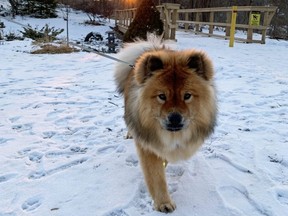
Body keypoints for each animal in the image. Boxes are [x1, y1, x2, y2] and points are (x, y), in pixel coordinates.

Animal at [114, 35, 216, 213]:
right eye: (162, 96)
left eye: (187, 96)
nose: (174, 118)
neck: (171, 136)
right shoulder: (148, 147)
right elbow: (157, 177)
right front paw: (163, 203)